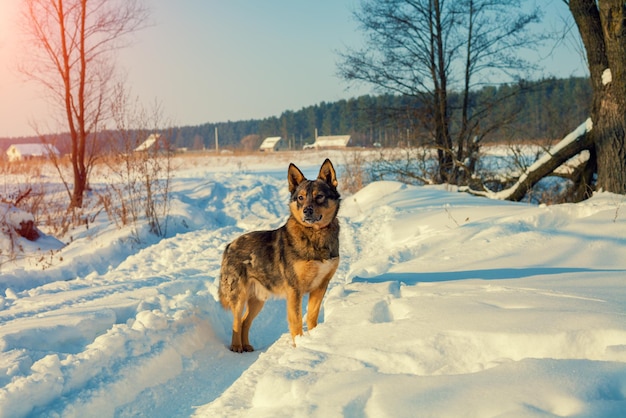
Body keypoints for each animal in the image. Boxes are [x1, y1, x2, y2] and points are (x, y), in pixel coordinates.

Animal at [217, 159, 338, 352]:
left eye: (319, 196)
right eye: (300, 198)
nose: (307, 211)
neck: (315, 235)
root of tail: (229, 246)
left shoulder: (321, 286)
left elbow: (312, 318)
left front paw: (314, 340)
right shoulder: (295, 290)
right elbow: (296, 322)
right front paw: (299, 345)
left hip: (258, 300)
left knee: (244, 321)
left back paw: (247, 346)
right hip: (239, 296)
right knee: (236, 321)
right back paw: (236, 347)